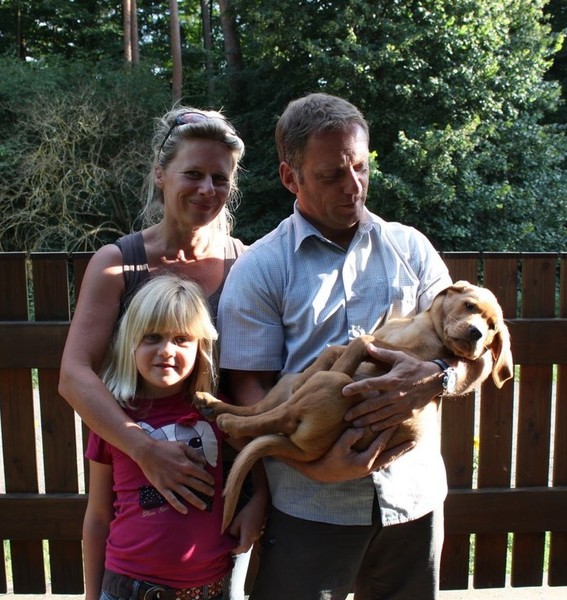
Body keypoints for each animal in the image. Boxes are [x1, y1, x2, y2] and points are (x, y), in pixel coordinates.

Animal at [195, 281, 514, 530]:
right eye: (470, 306)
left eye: (492, 328)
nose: (476, 334)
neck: (425, 330)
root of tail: (304, 449)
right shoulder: (382, 344)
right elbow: (340, 347)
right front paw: (315, 368)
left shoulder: (401, 357)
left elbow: (359, 341)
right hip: (288, 386)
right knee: (265, 407)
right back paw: (215, 405)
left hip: (332, 386)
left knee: (279, 416)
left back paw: (231, 422)